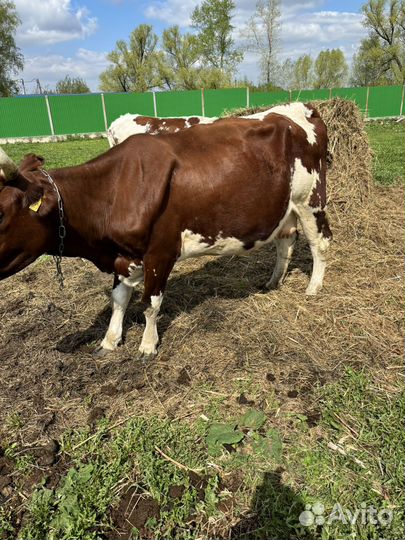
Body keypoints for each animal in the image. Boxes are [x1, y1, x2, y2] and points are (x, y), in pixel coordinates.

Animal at [0, 103, 332, 360]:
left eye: (2, 214)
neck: (115, 189)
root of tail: (300, 107)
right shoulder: (123, 256)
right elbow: (119, 298)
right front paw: (109, 340)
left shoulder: (160, 252)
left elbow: (150, 303)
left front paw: (147, 346)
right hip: (284, 207)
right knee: (285, 241)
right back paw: (273, 281)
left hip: (310, 200)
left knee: (320, 242)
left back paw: (313, 287)